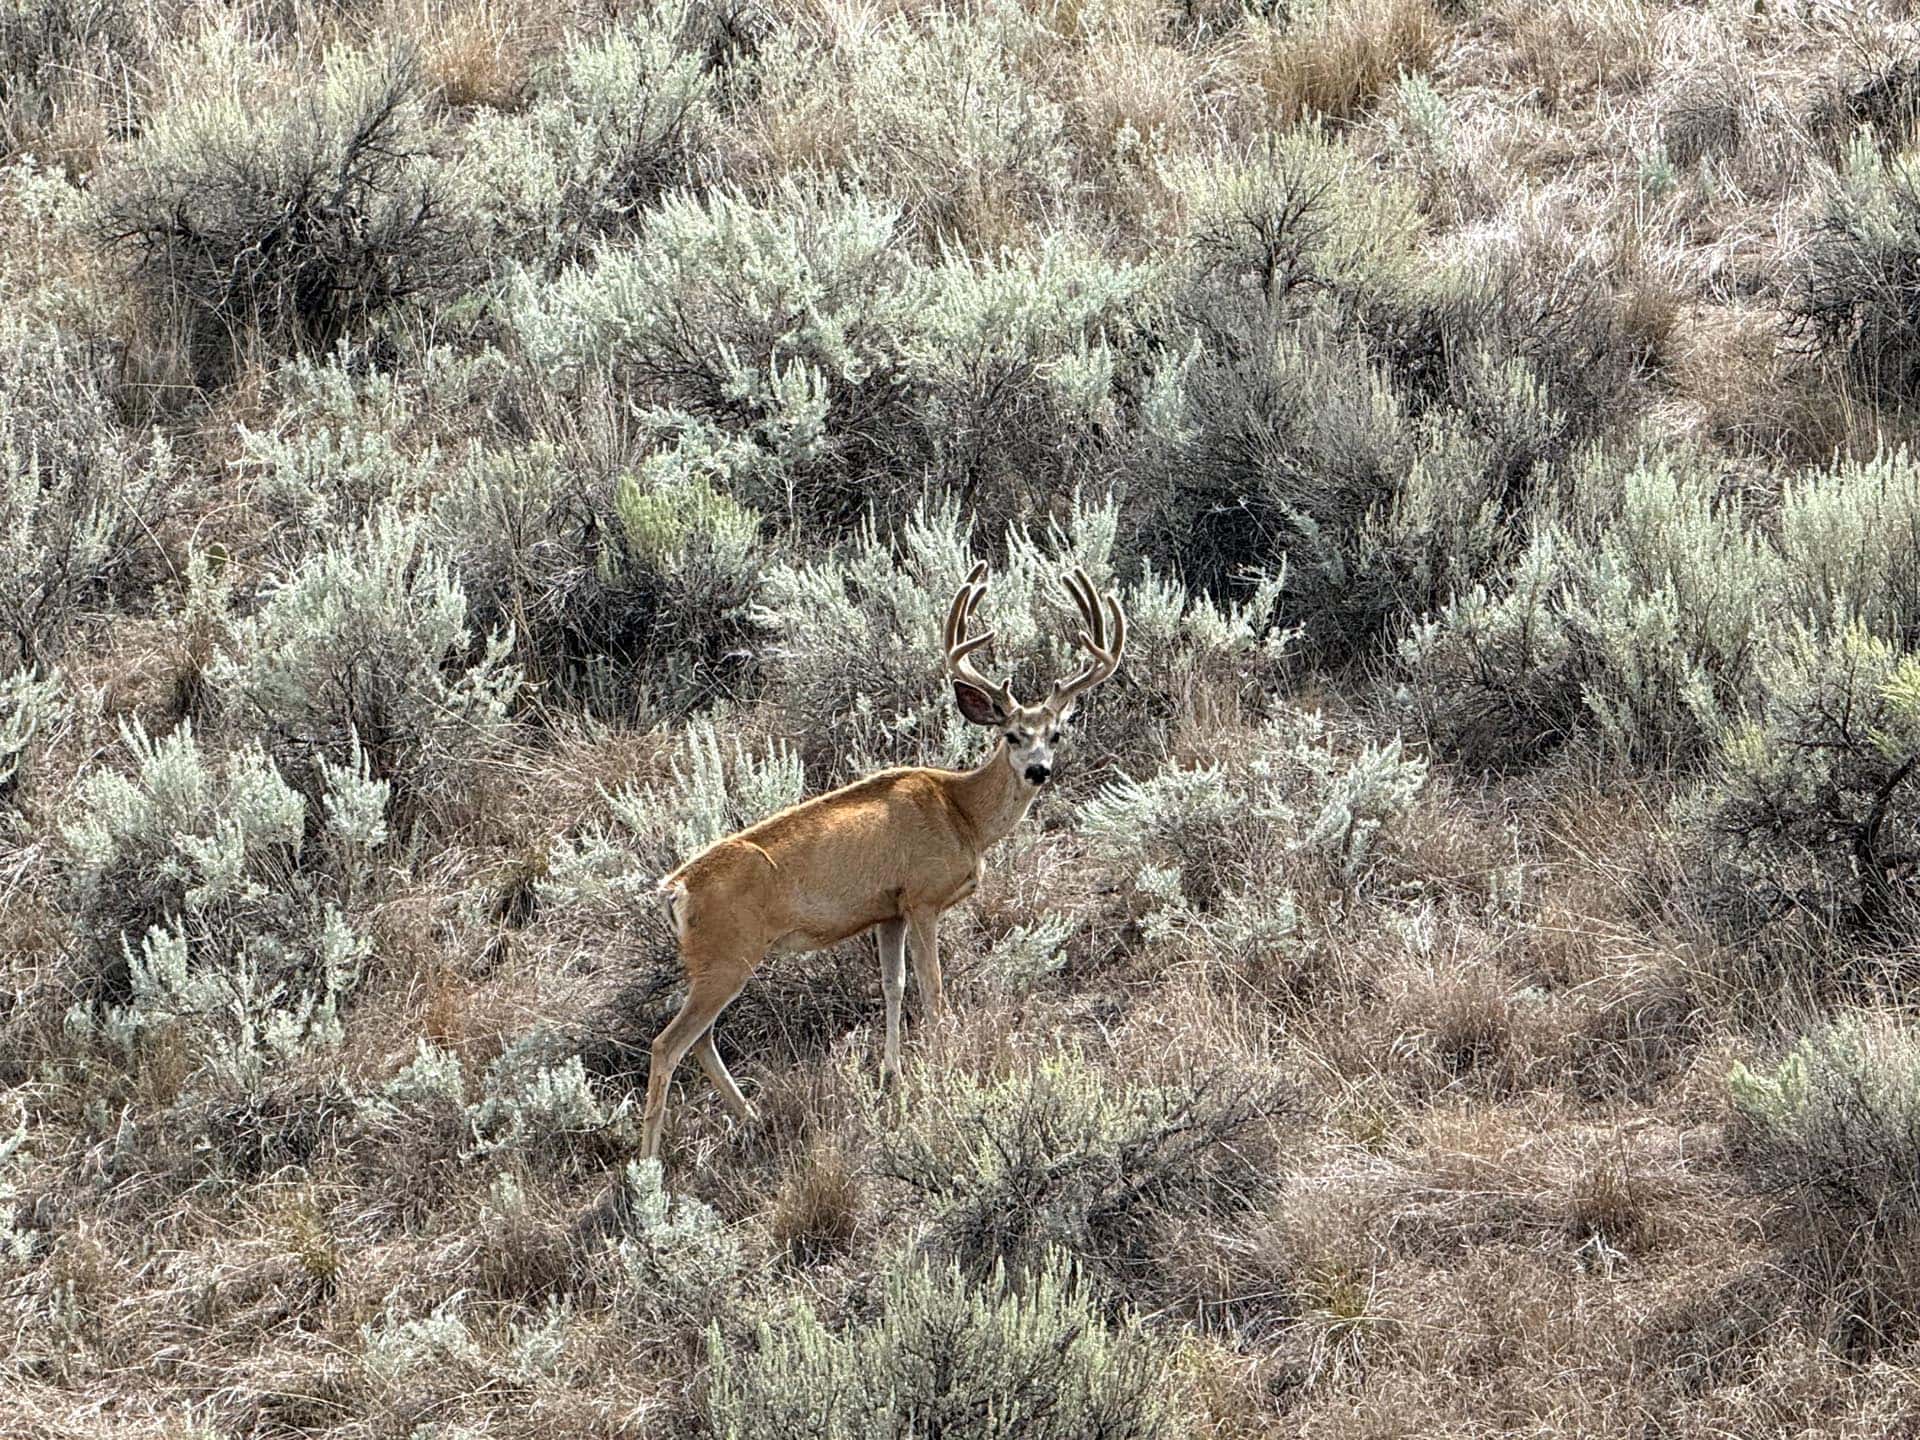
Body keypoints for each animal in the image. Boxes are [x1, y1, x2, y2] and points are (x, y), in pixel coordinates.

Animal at [639, 561, 1126, 1160]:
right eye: (1012, 735)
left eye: (1056, 734)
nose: (1039, 770)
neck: (961, 813)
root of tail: (676, 890)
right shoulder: (921, 897)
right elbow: (932, 985)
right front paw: (942, 1061)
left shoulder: (886, 912)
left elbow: (893, 986)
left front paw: (891, 1074)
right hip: (729, 954)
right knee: (668, 1044)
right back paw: (649, 1164)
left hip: (716, 961)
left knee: (700, 1039)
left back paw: (752, 1117)